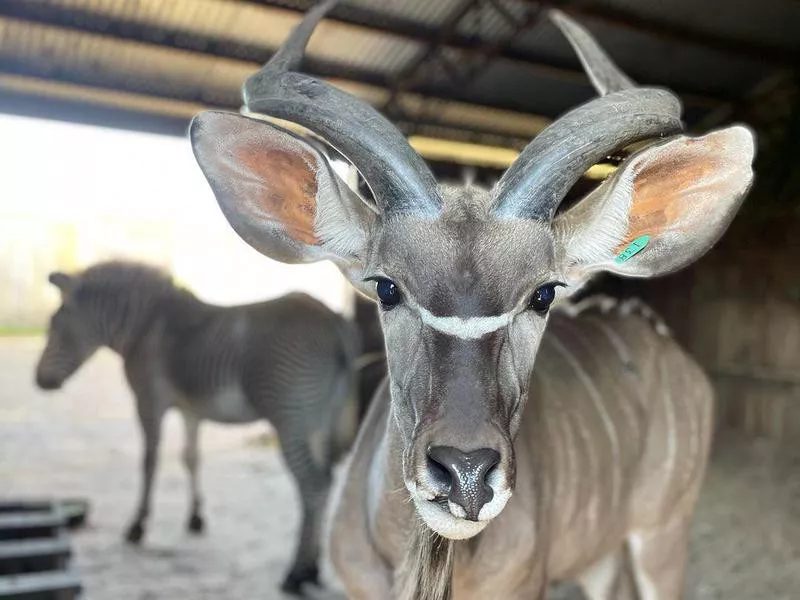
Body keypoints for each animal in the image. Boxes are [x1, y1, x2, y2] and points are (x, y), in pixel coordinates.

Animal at [34, 260, 361, 594]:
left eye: (54, 325)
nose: (39, 380)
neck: (144, 326)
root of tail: (335, 320)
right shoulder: (191, 411)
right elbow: (191, 458)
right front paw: (195, 518)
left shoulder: (148, 402)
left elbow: (149, 462)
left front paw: (137, 526)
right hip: (319, 423)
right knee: (325, 482)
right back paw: (314, 569)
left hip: (290, 419)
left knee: (312, 485)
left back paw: (296, 574)